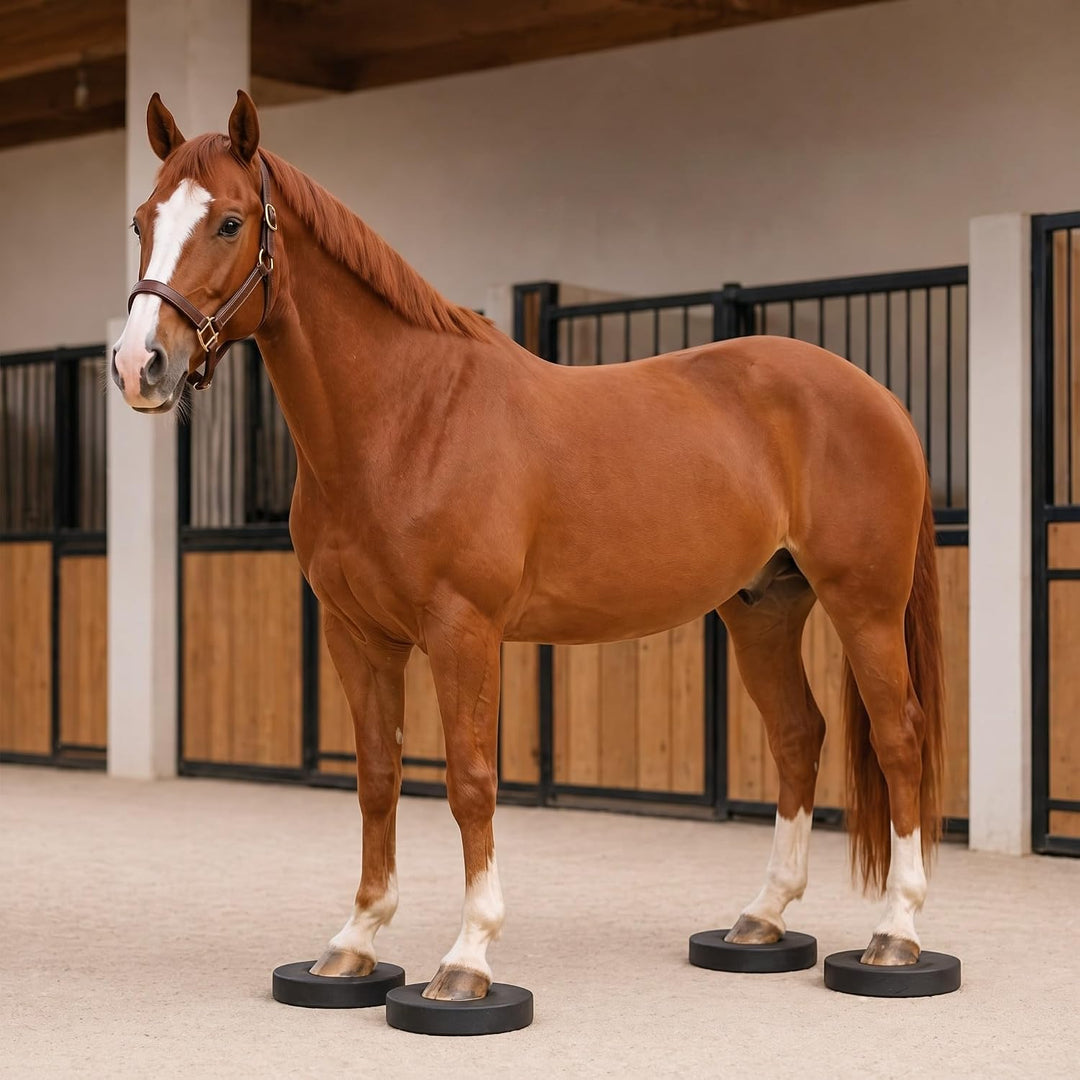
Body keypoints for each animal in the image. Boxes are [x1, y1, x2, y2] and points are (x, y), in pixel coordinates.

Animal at [113, 90, 945, 1001]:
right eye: (141, 220)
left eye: (229, 222)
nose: (138, 364)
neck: (406, 418)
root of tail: (878, 397)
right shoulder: (356, 635)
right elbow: (376, 778)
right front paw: (354, 943)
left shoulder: (463, 632)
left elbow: (472, 782)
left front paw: (468, 957)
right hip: (764, 608)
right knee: (799, 735)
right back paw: (761, 921)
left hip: (864, 604)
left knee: (900, 737)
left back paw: (897, 936)